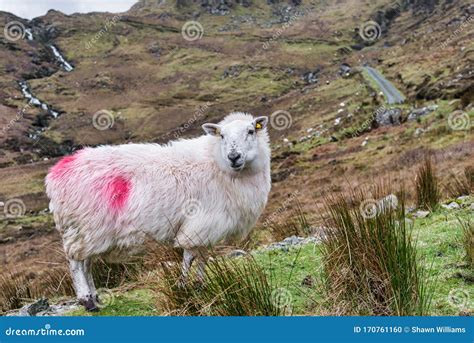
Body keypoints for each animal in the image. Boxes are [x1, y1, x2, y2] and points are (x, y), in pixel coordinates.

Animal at [47, 113, 274, 312]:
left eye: (251, 131)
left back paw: (95, 298)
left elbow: (202, 257)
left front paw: (200, 284)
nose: (233, 157)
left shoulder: (208, 227)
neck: (217, 163)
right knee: (76, 264)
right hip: (81, 228)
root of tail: (59, 170)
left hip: (92, 232)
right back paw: (87, 300)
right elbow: (190, 258)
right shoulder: (198, 224)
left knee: (87, 264)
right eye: (222, 135)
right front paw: (184, 287)